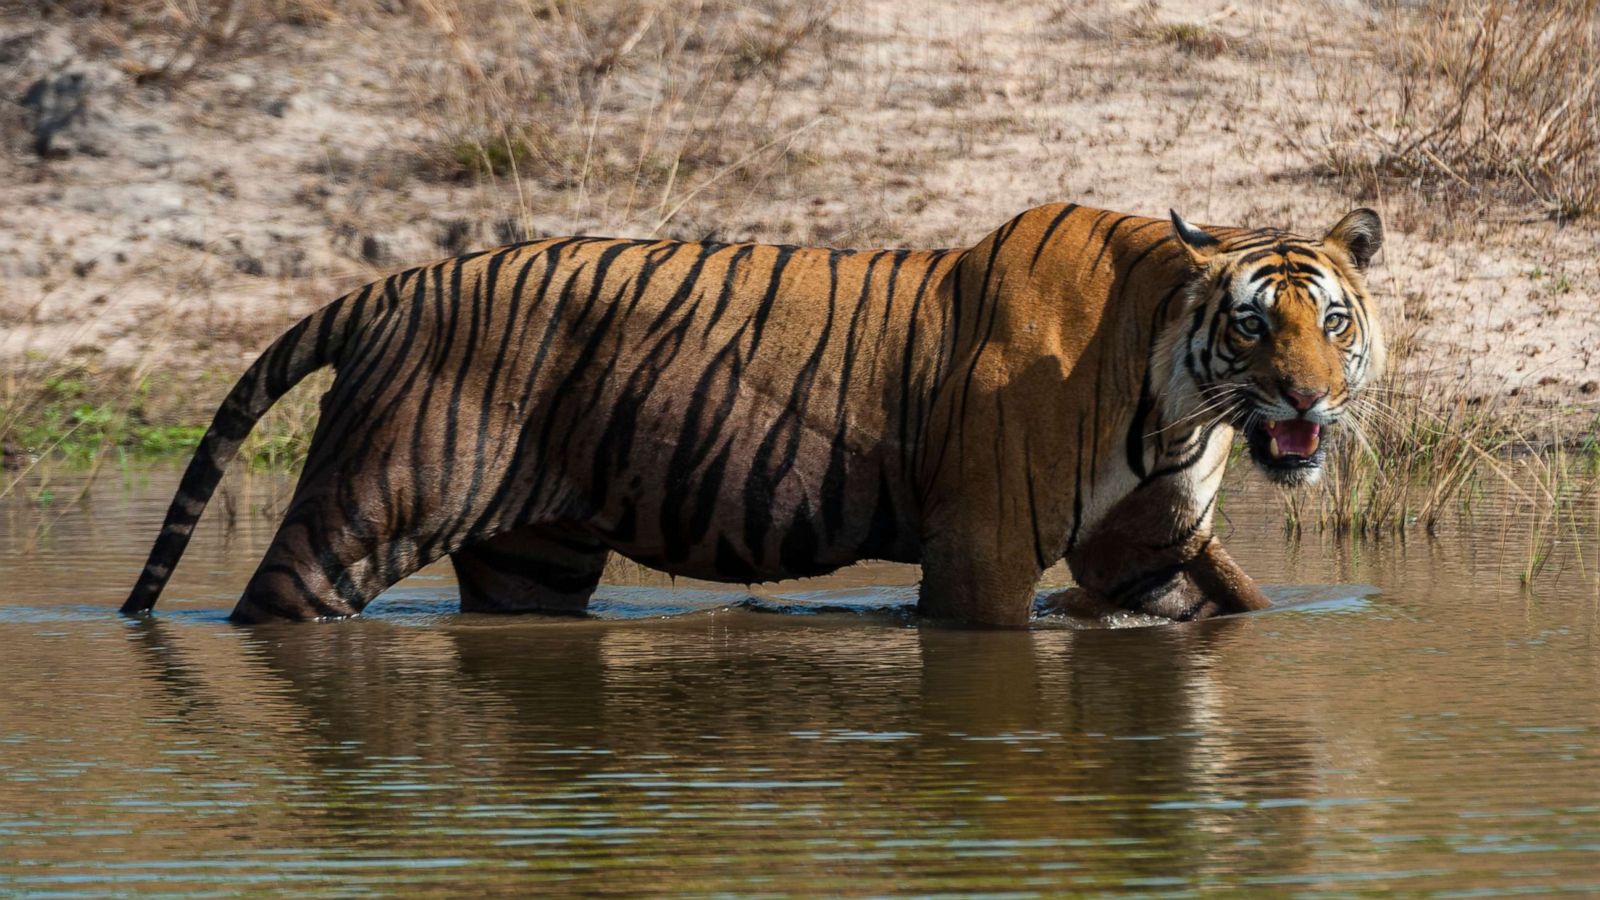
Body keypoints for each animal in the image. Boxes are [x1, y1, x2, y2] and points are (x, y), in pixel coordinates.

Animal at [118, 203, 1382, 624]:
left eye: (1333, 322)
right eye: (1253, 328)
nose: (1308, 399)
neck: (1182, 404)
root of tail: (395, 285)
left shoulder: (1145, 554)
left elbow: (1222, 606)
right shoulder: (977, 550)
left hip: (533, 555)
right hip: (372, 506)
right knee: (278, 600)